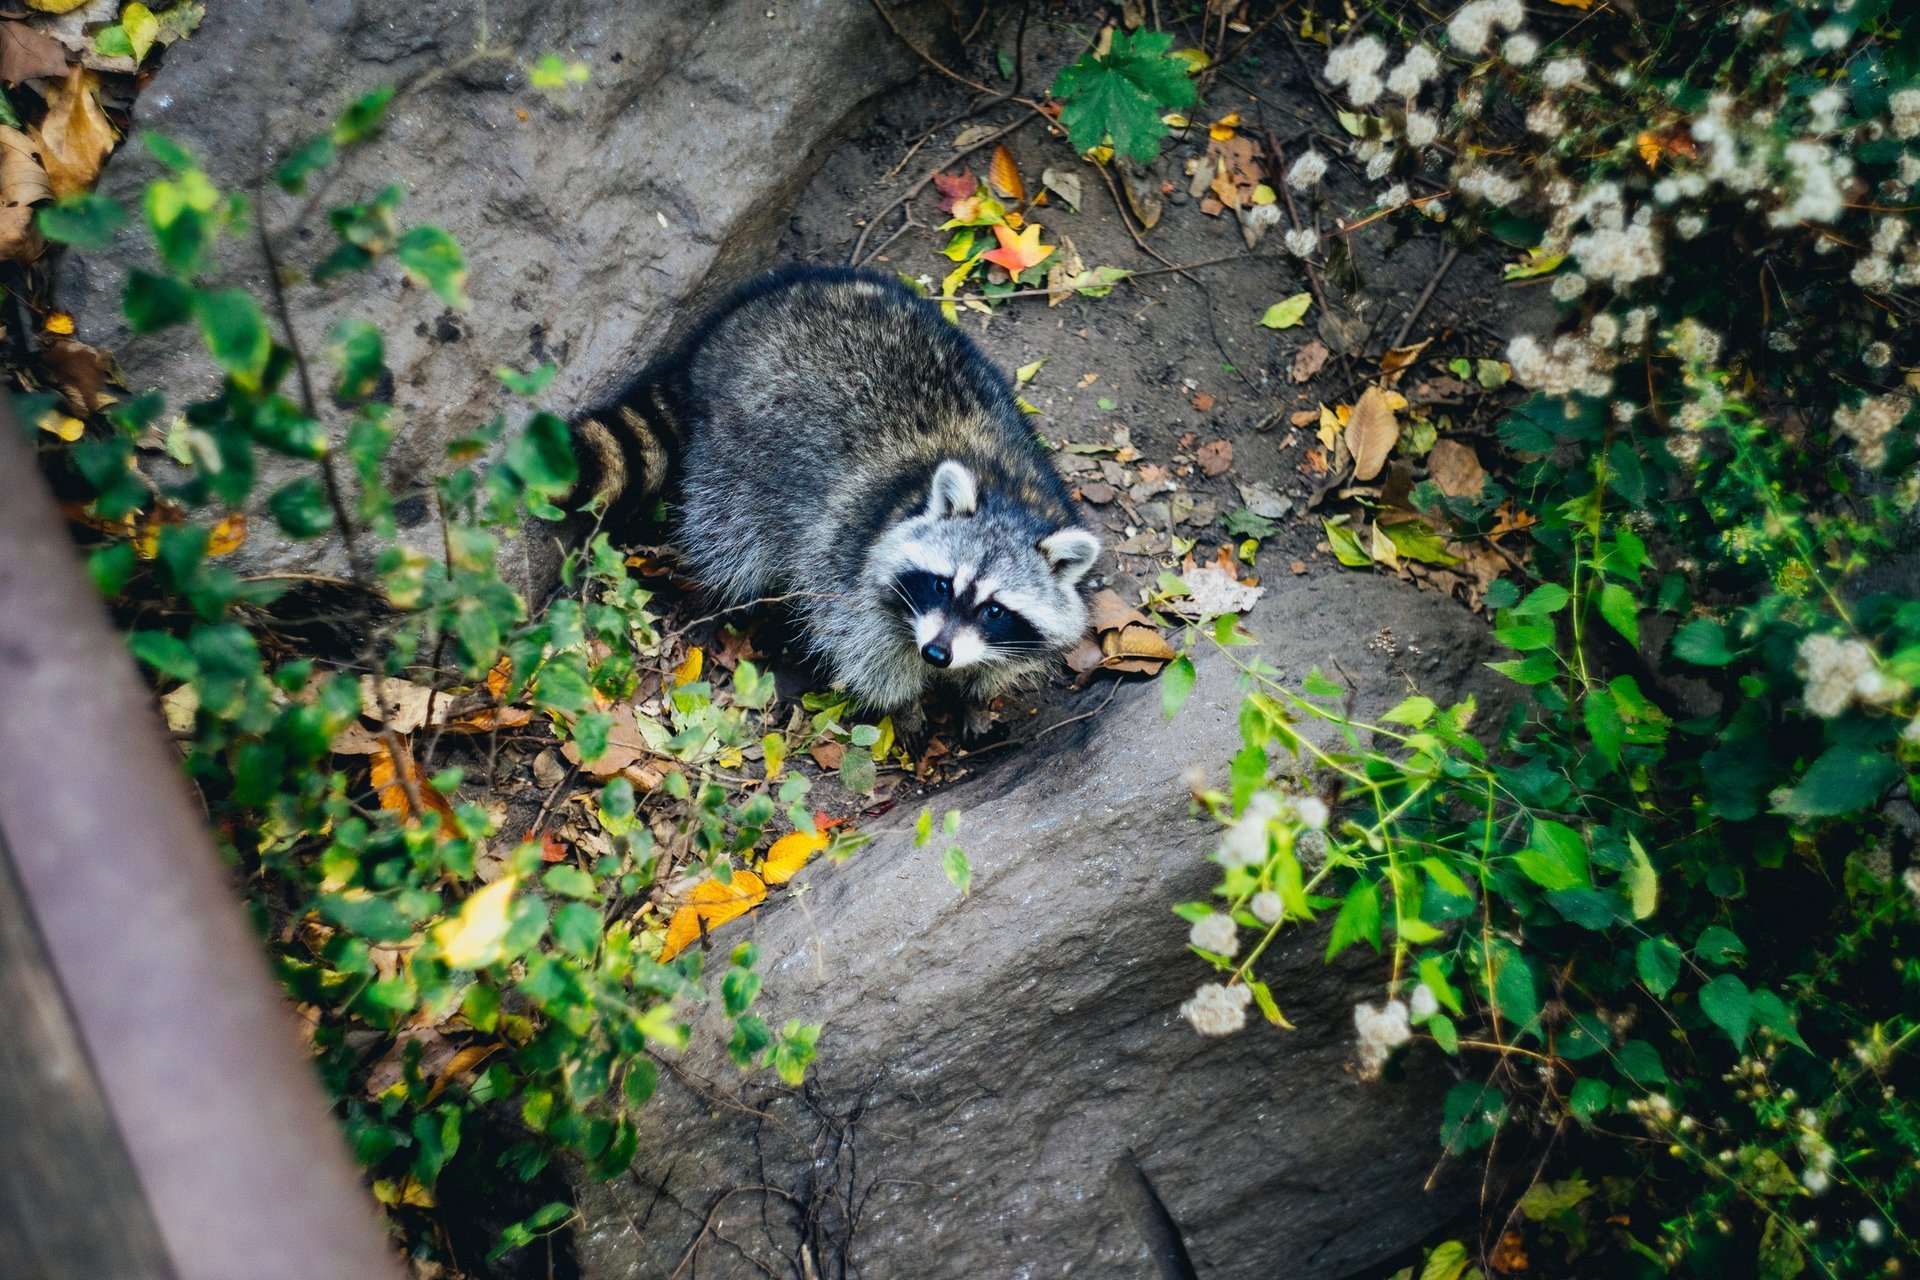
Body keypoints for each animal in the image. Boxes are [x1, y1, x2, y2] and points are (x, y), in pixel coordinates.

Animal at [572, 266, 1101, 738]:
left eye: (994, 610)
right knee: (731, 538)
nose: (936, 654)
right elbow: (864, 649)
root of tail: (723, 334)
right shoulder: (849, 556)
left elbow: (1004, 660)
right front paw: (906, 708)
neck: (1010, 494)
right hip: (736, 457)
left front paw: (975, 697)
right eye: (942, 585)